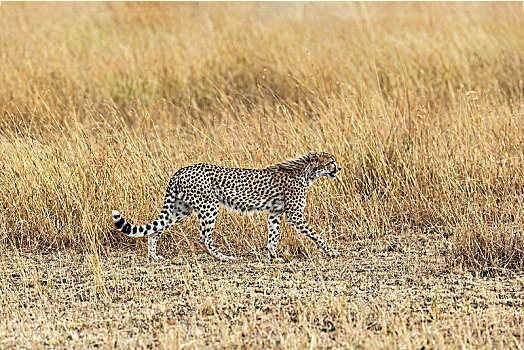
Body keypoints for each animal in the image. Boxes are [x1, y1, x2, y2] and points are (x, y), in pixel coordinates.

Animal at [111, 152, 342, 262]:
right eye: (330, 161)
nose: (338, 168)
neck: (307, 173)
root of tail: (182, 169)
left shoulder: (275, 213)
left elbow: (273, 237)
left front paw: (274, 256)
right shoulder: (294, 215)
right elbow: (316, 235)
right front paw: (332, 252)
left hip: (181, 208)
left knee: (155, 229)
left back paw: (153, 255)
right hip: (209, 205)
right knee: (203, 238)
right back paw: (223, 257)